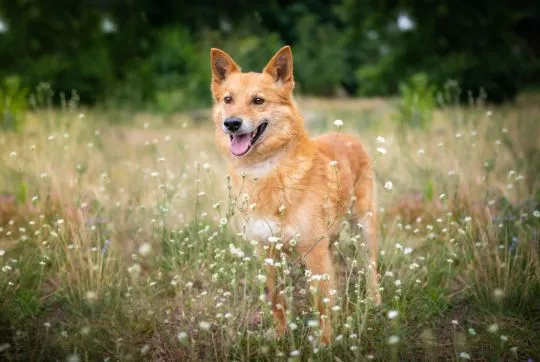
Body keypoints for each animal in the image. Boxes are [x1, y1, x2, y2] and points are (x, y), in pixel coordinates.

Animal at [209, 45, 382, 346]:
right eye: (228, 100)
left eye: (258, 100)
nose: (232, 124)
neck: (267, 168)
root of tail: (348, 136)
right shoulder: (268, 252)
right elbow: (277, 300)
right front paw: (280, 336)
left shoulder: (314, 251)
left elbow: (322, 304)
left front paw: (325, 344)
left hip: (363, 226)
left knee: (370, 267)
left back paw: (375, 301)